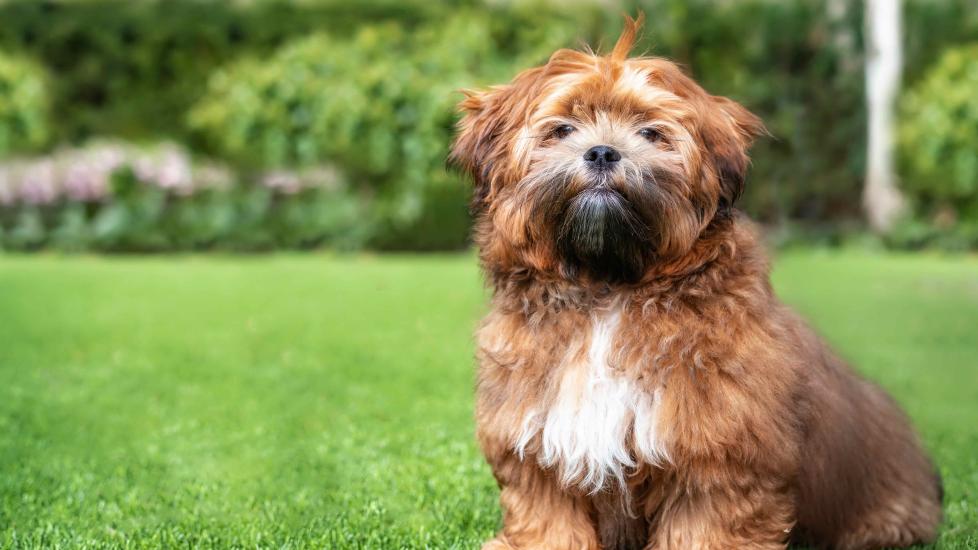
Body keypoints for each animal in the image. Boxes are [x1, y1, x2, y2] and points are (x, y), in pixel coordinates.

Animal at [448, 14, 936, 550]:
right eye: (563, 129)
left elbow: (706, 521)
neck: (608, 291)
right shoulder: (533, 443)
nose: (602, 152)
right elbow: (547, 516)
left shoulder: (721, 452)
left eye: (650, 132)